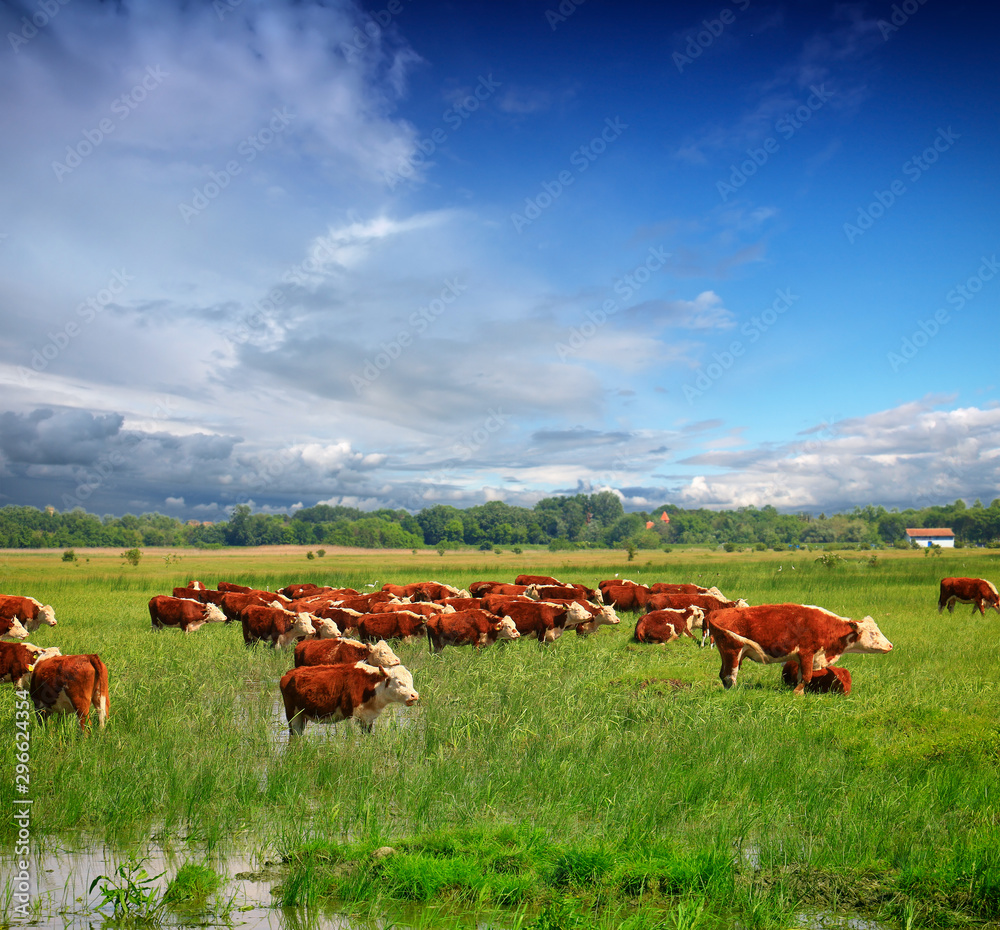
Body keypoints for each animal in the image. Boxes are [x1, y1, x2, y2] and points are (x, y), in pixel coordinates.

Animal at [279, 661, 419, 736]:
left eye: (411, 681)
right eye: (399, 682)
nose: (415, 695)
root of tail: (289, 673)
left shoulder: (367, 718)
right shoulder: (350, 716)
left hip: (302, 717)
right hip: (293, 715)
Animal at [707, 604, 893, 695]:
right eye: (873, 633)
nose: (890, 645)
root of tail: (718, 613)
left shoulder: (804, 658)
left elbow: (800, 676)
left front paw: (799, 692)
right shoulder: (807, 653)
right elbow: (807, 676)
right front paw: (797, 693)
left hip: (729, 654)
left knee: (723, 675)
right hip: (733, 651)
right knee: (730, 675)